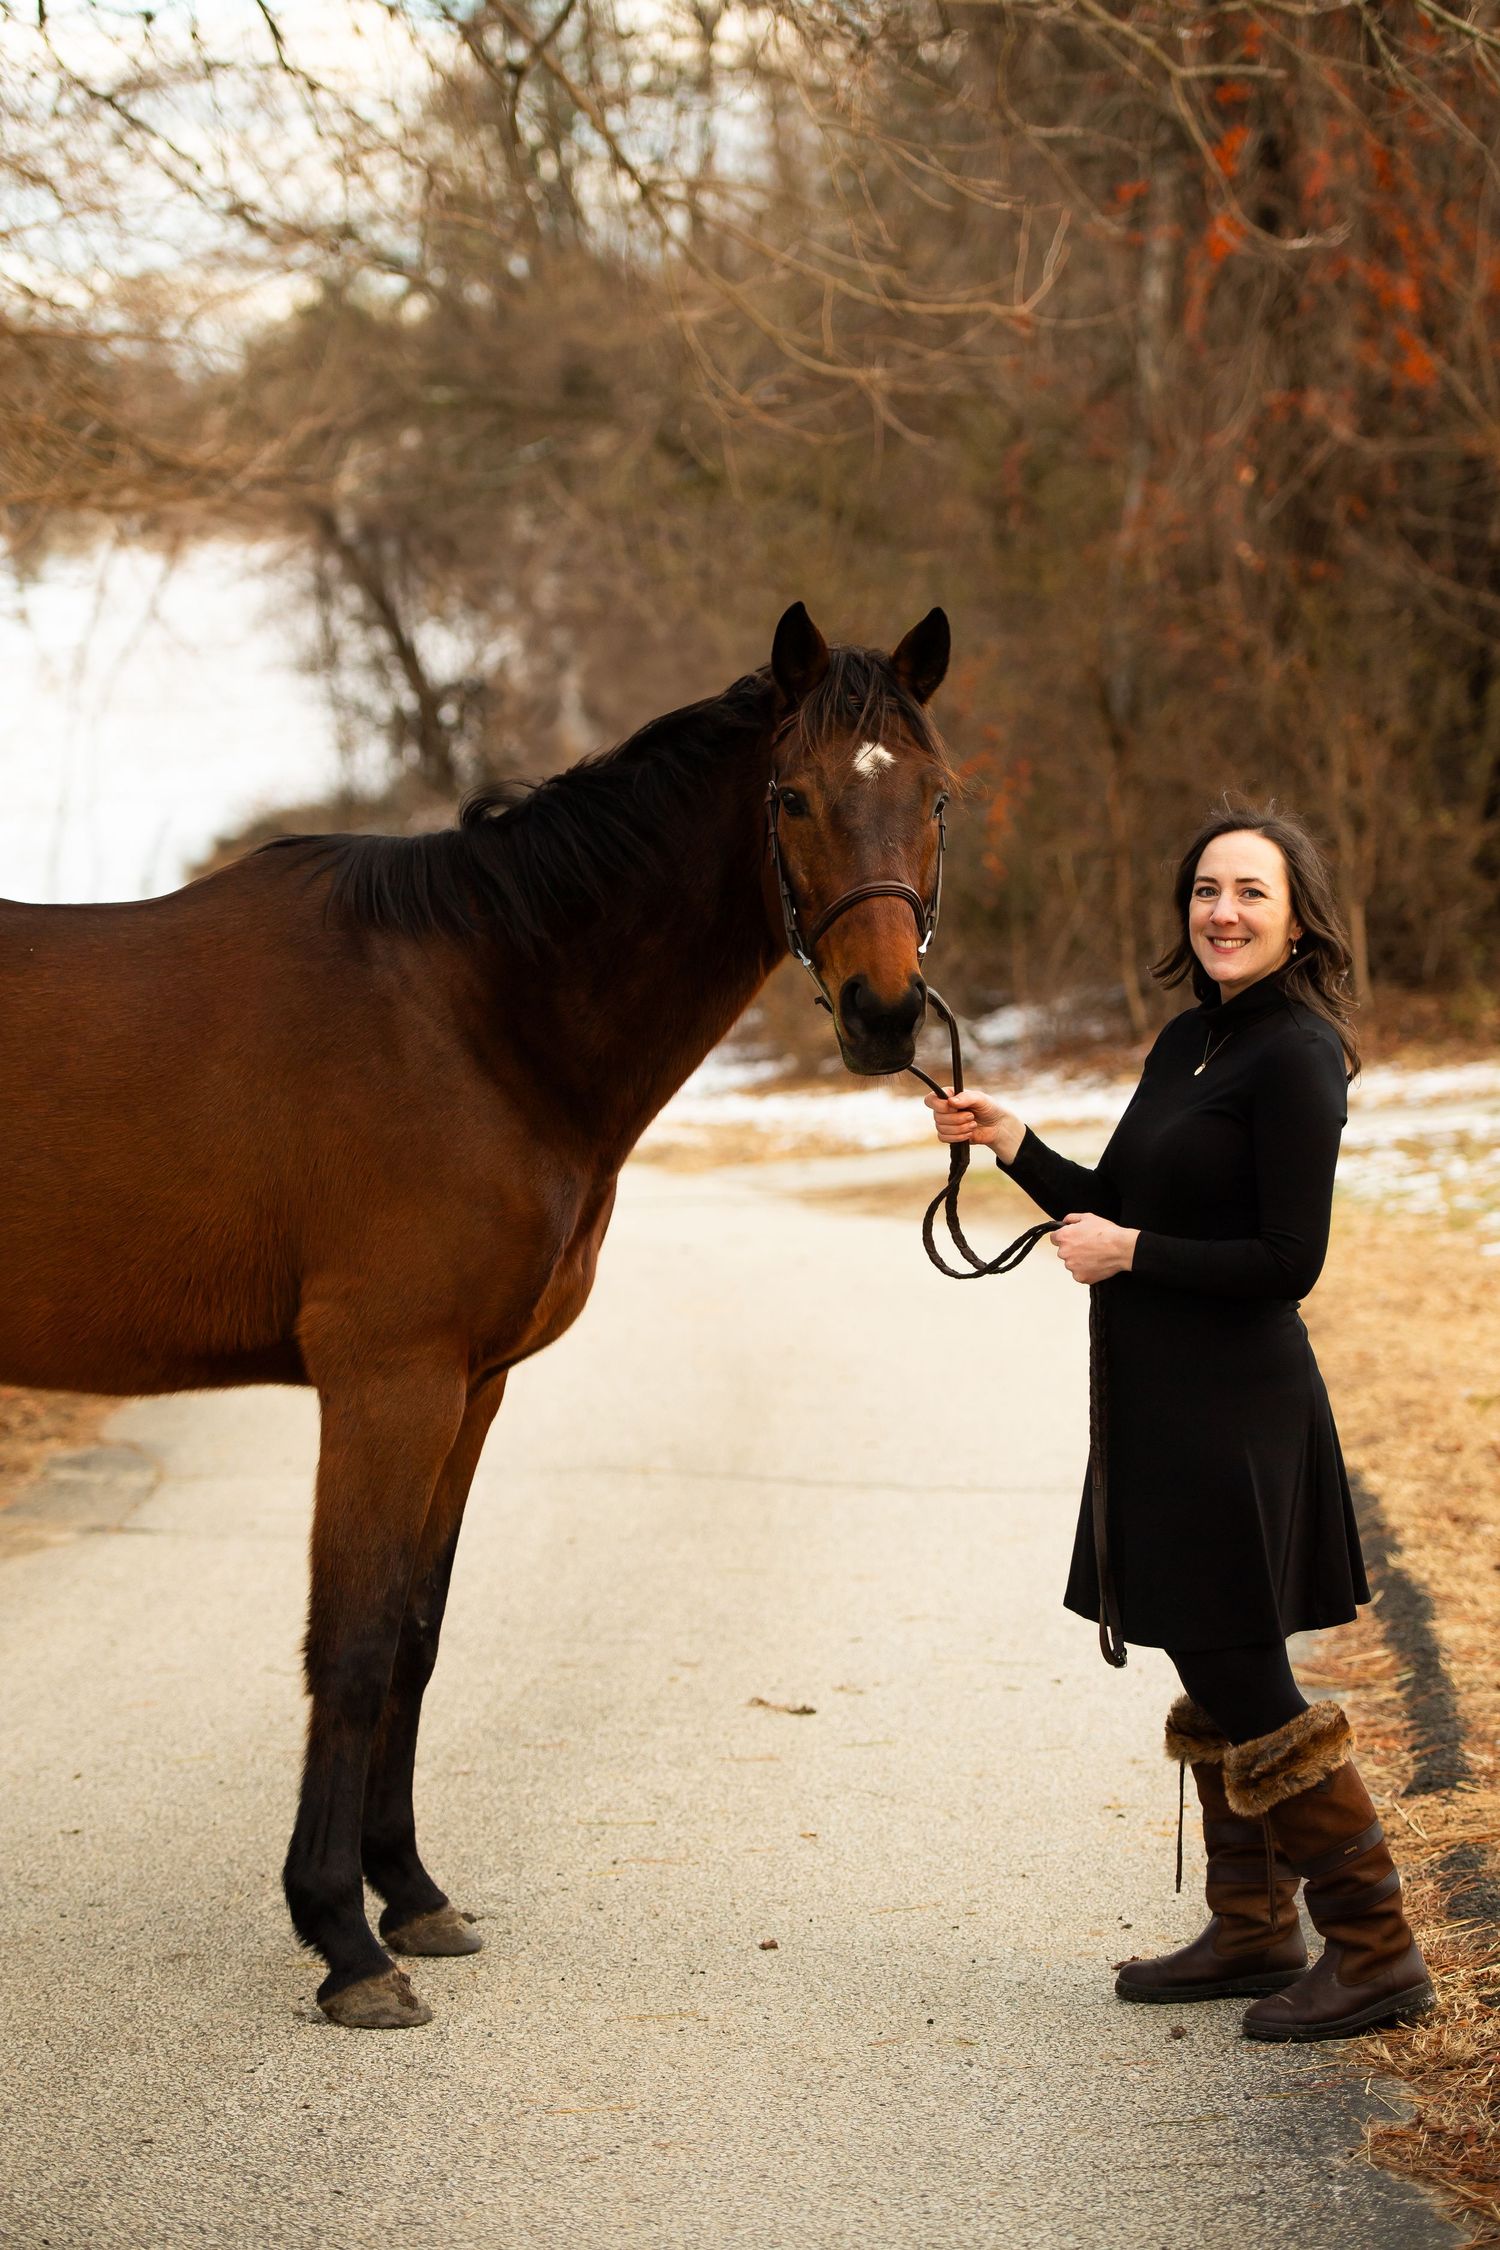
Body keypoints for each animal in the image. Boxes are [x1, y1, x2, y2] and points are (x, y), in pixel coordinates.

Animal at [0, 600, 953, 2028]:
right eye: (790, 796)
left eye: (937, 797)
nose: (885, 1016)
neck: (476, 1010)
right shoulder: (389, 1379)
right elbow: (350, 1640)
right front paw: (343, 1939)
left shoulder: (474, 1383)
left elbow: (416, 1634)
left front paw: (409, 1893)